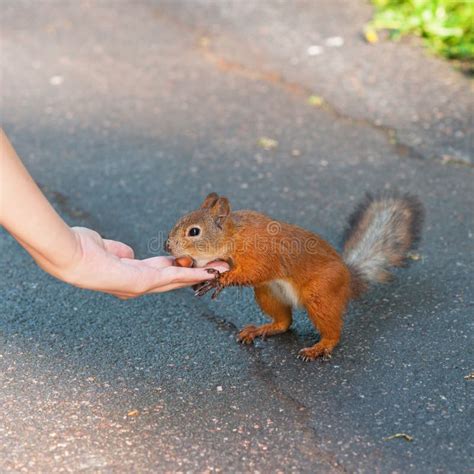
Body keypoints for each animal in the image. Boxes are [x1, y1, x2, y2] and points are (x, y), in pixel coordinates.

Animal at [165, 191, 424, 362]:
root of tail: (348, 280)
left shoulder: (260, 252)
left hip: (320, 294)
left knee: (333, 331)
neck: (233, 236)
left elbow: (256, 270)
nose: (167, 246)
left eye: (194, 232)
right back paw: (261, 329)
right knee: (285, 323)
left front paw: (220, 280)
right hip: (268, 293)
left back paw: (320, 347)